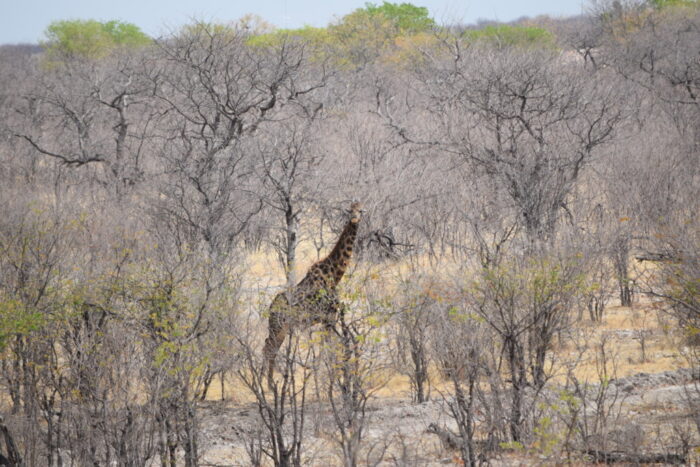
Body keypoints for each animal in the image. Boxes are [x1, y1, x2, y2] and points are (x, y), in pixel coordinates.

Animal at [263, 202, 362, 381]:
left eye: (361, 211)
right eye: (350, 211)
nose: (354, 219)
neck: (334, 275)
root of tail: (271, 307)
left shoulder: (328, 319)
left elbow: (328, 347)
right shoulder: (329, 318)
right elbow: (328, 348)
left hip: (278, 326)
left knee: (267, 346)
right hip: (279, 326)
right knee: (270, 348)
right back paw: (267, 383)